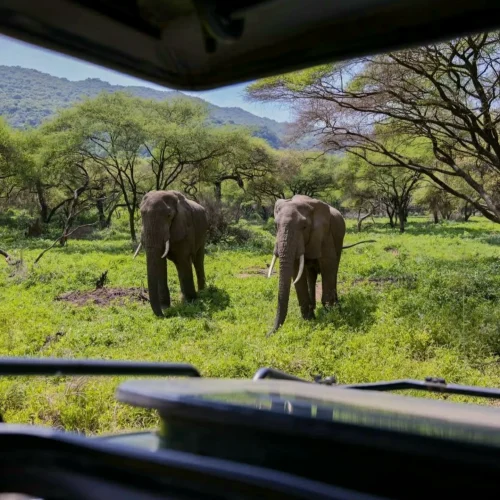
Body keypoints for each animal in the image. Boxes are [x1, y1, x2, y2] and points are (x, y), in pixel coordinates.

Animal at [268, 195, 374, 336]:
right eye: (275, 225)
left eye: (304, 226)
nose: (268, 334)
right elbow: (296, 271)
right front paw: (309, 319)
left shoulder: (325, 234)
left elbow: (328, 265)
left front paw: (329, 315)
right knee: (311, 275)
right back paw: (313, 307)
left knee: (334, 269)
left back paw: (336, 305)